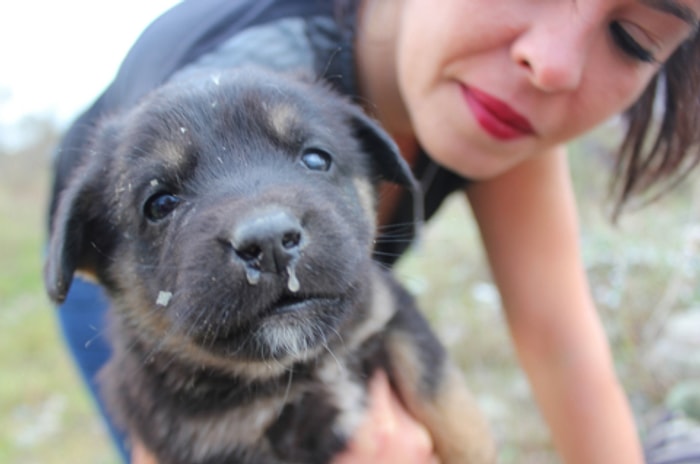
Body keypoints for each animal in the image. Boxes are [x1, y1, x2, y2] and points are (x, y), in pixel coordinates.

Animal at [46, 69, 494, 464]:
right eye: (159, 204)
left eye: (315, 159)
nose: (270, 242)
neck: (303, 367)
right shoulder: (217, 442)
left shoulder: (389, 311)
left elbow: (446, 400)